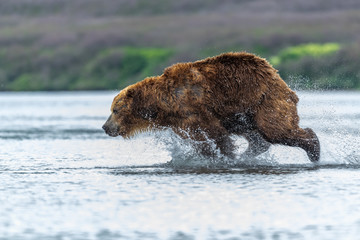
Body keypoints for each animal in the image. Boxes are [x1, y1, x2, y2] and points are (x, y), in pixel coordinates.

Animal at [102, 51, 320, 162]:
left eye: (115, 110)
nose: (105, 127)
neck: (163, 106)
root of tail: (276, 74)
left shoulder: (194, 112)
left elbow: (214, 136)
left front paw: (224, 155)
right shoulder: (180, 123)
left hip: (263, 100)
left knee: (275, 129)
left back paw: (314, 150)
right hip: (241, 114)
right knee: (258, 137)